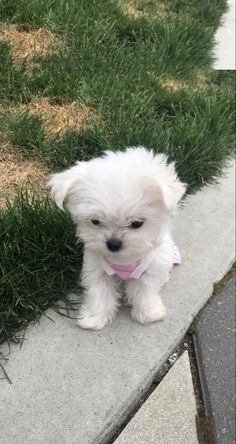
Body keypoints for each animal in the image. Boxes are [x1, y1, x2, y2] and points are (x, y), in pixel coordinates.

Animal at [48, 147, 185, 330]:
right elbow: (99, 292)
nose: (113, 244)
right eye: (95, 221)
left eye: (136, 224)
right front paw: (94, 318)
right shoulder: (97, 268)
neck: (123, 260)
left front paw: (148, 313)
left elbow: (145, 291)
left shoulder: (150, 270)